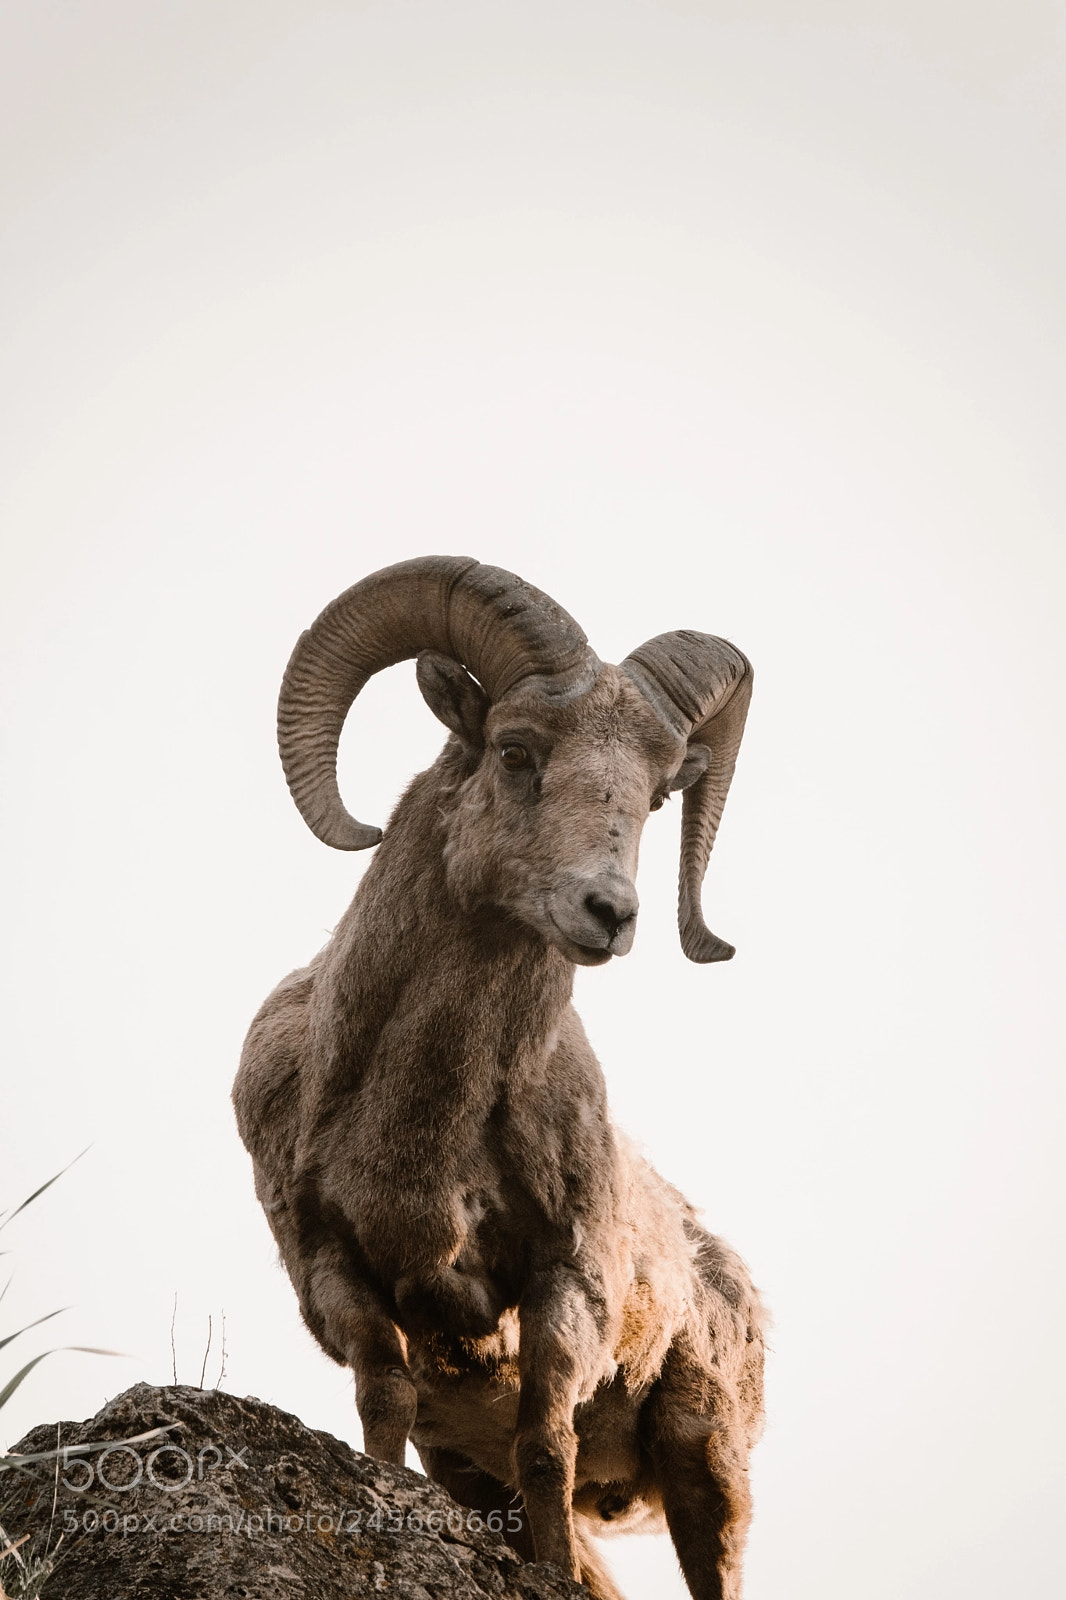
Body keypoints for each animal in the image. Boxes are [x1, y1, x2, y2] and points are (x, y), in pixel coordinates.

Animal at [233, 556, 765, 1600]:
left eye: (653, 796)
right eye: (516, 751)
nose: (610, 914)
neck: (416, 1130)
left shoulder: (565, 1285)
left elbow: (547, 1445)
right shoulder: (340, 1273)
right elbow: (384, 1408)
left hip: (706, 1462)